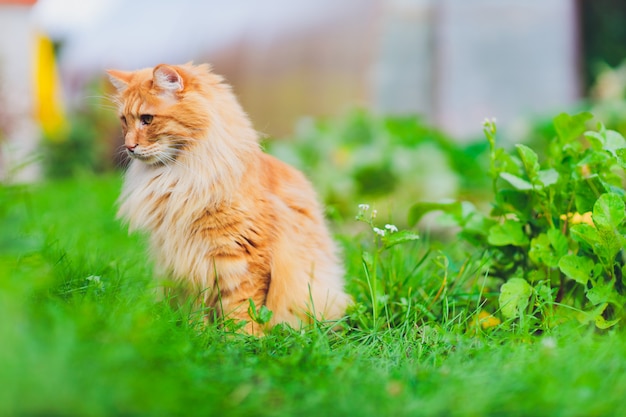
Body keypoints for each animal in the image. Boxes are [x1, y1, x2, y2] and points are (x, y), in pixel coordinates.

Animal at [109, 61, 348, 334]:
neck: (178, 178)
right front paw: (197, 334)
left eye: (147, 119)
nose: (129, 146)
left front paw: (241, 338)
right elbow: (196, 307)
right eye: (124, 121)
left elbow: (241, 307)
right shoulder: (188, 259)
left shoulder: (243, 255)